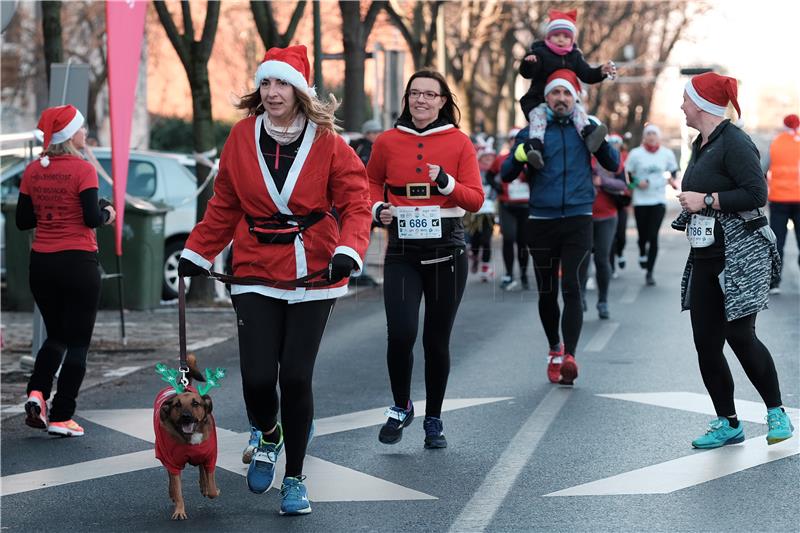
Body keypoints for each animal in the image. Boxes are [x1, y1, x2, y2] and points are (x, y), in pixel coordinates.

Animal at [152, 354, 219, 520]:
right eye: (177, 405)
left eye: (195, 403)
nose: (186, 417)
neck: (191, 435)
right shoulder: (172, 462)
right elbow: (177, 489)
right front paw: (179, 510)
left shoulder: (210, 457)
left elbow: (212, 486)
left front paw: (211, 489)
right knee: (171, 480)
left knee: (201, 468)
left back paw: (204, 486)